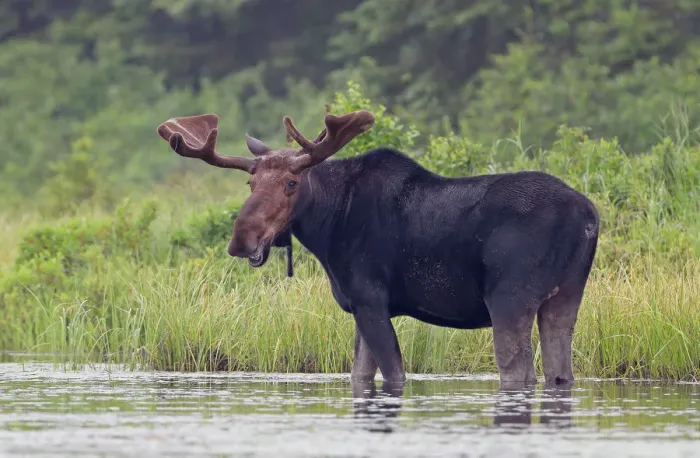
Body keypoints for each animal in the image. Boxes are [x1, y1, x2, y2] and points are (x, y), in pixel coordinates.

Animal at [156, 109, 599, 388]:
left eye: (292, 183)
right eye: (250, 184)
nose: (241, 239)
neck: (329, 226)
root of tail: (590, 216)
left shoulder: (371, 299)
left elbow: (394, 373)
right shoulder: (358, 306)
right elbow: (359, 375)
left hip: (509, 297)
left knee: (518, 371)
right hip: (565, 297)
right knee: (560, 372)